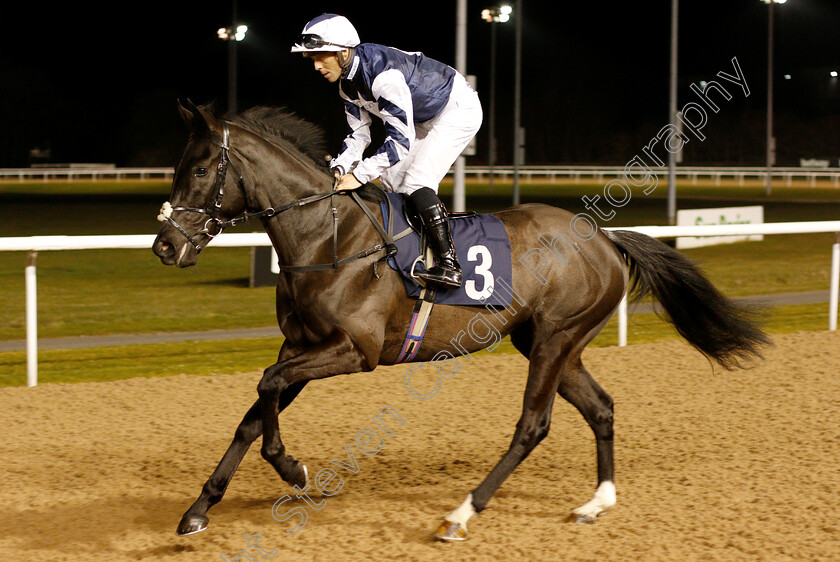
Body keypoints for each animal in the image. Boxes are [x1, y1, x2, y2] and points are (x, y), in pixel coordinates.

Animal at [151, 99, 768, 540]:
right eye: (177, 167)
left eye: (201, 169)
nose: (164, 246)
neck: (327, 239)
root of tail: (605, 238)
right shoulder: (300, 345)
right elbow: (256, 411)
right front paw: (199, 509)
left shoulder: (354, 351)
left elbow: (268, 389)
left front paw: (294, 470)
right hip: (551, 343)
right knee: (601, 407)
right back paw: (596, 502)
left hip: (556, 337)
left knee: (533, 424)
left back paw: (462, 513)